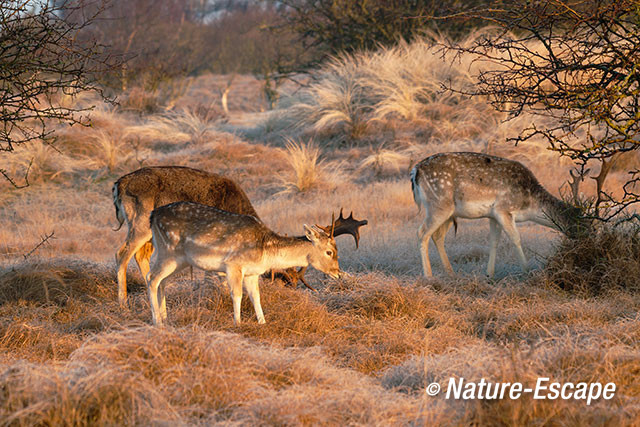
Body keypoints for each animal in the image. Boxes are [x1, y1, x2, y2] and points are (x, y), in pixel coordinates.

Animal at [148, 202, 342, 326]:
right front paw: (238, 323)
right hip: (168, 252)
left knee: (162, 281)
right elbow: (237, 294)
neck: (265, 251)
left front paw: (262, 322)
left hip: (177, 259)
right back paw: (157, 321)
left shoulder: (252, 273)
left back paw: (165, 318)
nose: (338, 273)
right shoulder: (233, 265)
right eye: (329, 252)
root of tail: (152, 215)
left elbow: (256, 296)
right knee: (152, 278)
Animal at [412, 153, 588, 278]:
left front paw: (489, 274)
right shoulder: (503, 209)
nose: (585, 243)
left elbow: (494, 241)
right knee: (421, 232)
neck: (529, 205)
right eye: (581, 224)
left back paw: (451, 273)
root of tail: (415, 171)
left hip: (449, 212)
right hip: (439, 204)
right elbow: (516, 238)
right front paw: (527, 271)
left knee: (437, 236)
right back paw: (428, 276)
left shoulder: (493, 215)